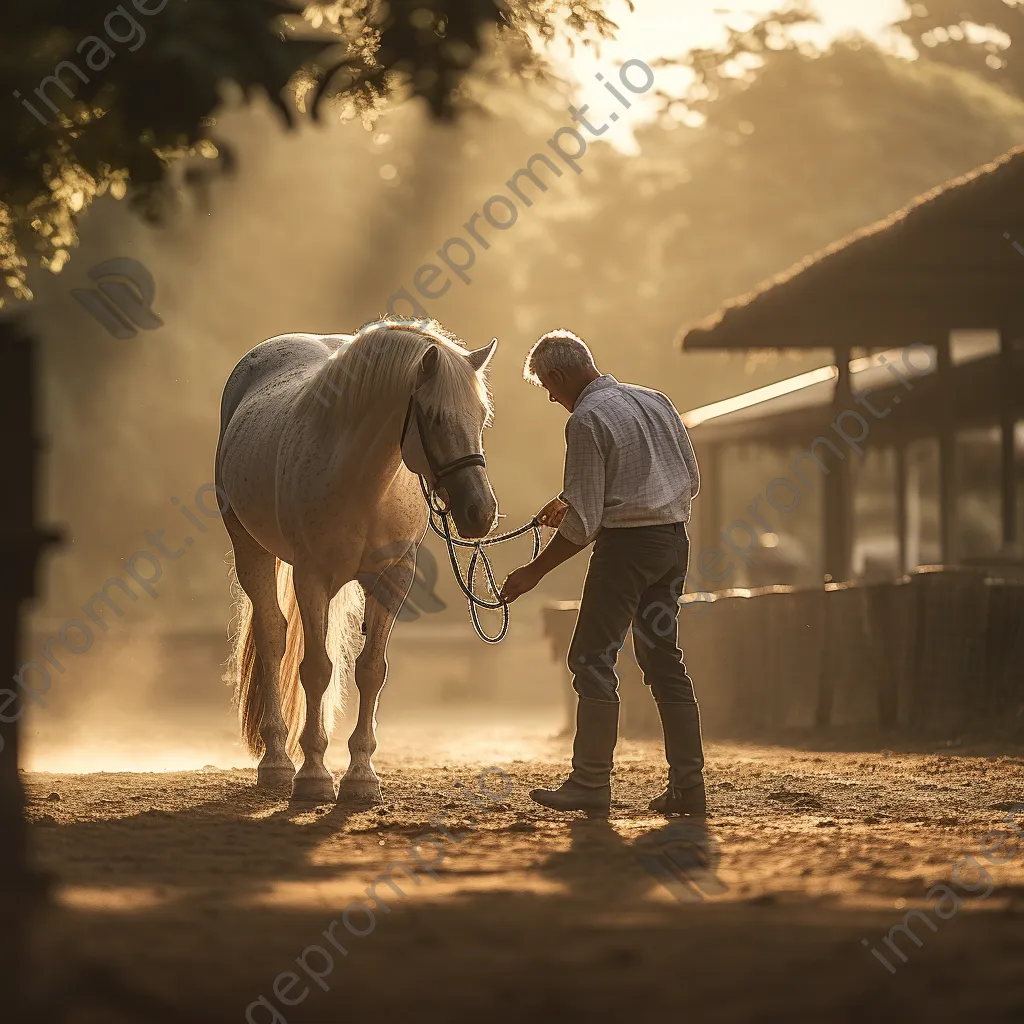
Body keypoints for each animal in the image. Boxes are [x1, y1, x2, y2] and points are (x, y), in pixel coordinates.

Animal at [217, 317, 499, 798]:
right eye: (435, 417)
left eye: (481, 417)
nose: (480, 512)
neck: (362, 480)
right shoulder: (311, 576)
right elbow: (315, 670)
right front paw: (313, 775)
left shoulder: (393, 579)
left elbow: (370, 670)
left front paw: (361, 775)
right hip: (250, 550)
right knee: (273, 639)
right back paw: (276, 762)